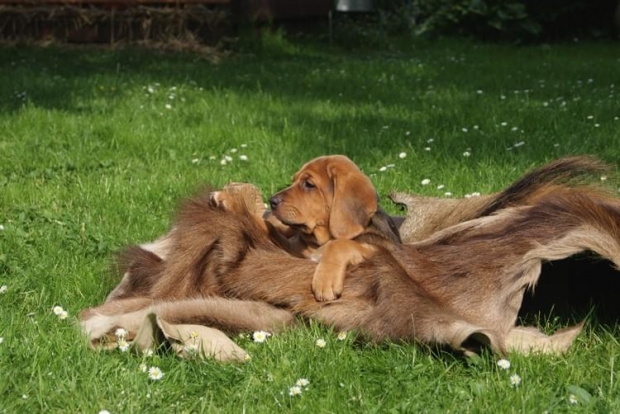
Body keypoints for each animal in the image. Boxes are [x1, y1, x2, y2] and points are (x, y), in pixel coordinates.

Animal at [268, 155, 400, 300]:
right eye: (293, 181)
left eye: (309, 184)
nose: (271, 201)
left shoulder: (379, 249)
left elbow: (338, 244)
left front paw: (325, 281)